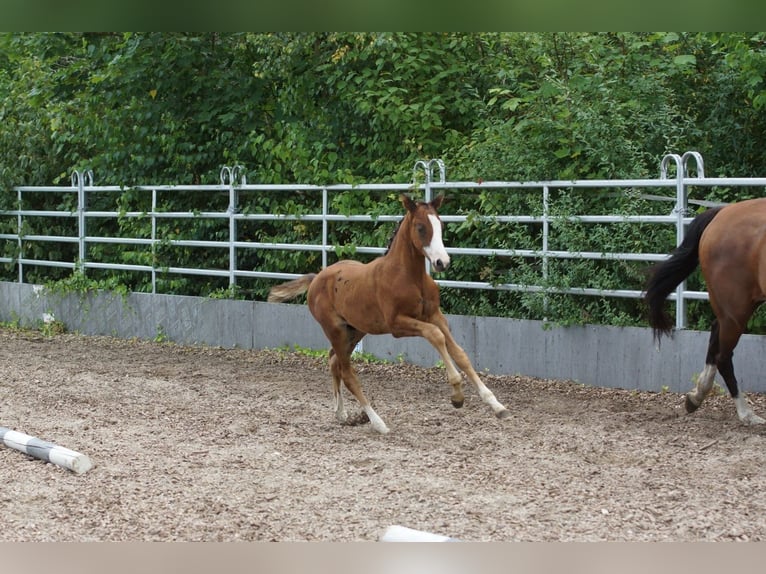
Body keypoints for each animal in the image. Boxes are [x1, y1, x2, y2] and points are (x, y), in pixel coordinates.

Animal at [268, 196, 512, 434]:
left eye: (441, 225)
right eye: (421, 227)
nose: (442, 262)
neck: (409, 276)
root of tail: (316, 279)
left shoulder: (435, 315)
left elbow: (460, 353)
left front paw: (497, 406)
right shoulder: (397, 325)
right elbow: (435, 336)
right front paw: (457, 395)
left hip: (355, 330)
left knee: (334, 361)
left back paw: (342, 414)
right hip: (335, 330)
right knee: (347, 374)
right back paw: (378, 423)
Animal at [648, 199, 766, 428]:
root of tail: (723, 212)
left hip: (737, 307)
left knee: (715, 332)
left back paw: (696, 396)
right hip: (737, 310)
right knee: (723, 357)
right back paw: (746, 414)